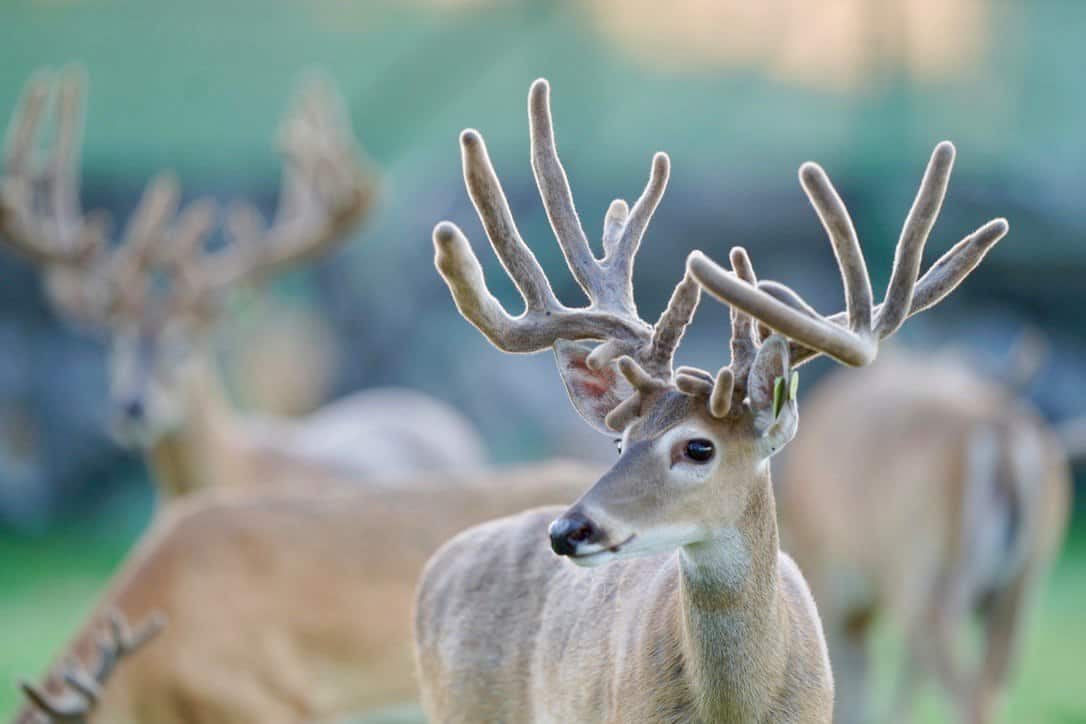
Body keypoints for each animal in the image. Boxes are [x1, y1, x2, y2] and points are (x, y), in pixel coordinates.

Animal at [774, 338, 1072, 724]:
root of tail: (1000, 430)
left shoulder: (832, 582)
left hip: (928, 574)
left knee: (967, 689)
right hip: (1022, 585)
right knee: (988, 678)